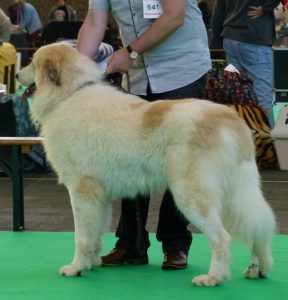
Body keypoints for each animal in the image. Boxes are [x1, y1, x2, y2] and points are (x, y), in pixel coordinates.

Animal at [16, 44, 276, 286]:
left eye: (32, 64)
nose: (17, 75)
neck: (69, 95)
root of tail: (230, 118)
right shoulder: (100, 195)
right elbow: (96, 233)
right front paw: (92, 263)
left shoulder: (82, 191)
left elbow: (82, 236)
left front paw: (76, 267)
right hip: (238, 192)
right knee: (258, 223)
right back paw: (258, 268)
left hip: (191, 195)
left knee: (222, 237)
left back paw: (213, 278)